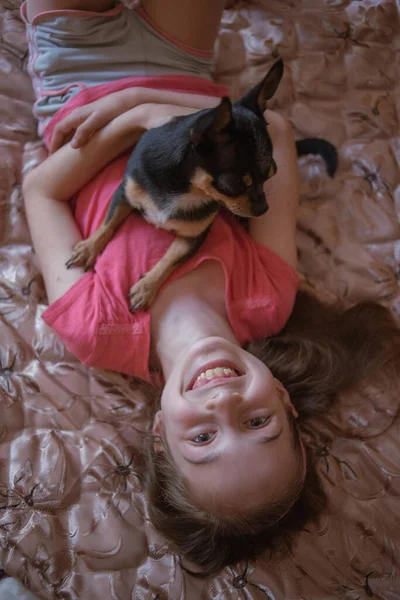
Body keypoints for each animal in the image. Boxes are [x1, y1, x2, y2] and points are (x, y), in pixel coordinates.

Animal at [66, 59, 338, 312]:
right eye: (233, 184)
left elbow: (171, 259)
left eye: (272, 174)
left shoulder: (193, 237)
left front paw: (146, 287)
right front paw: (89, 248)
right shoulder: (125, 193)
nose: (264, 210)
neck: (187, 189)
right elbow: (108, 222)